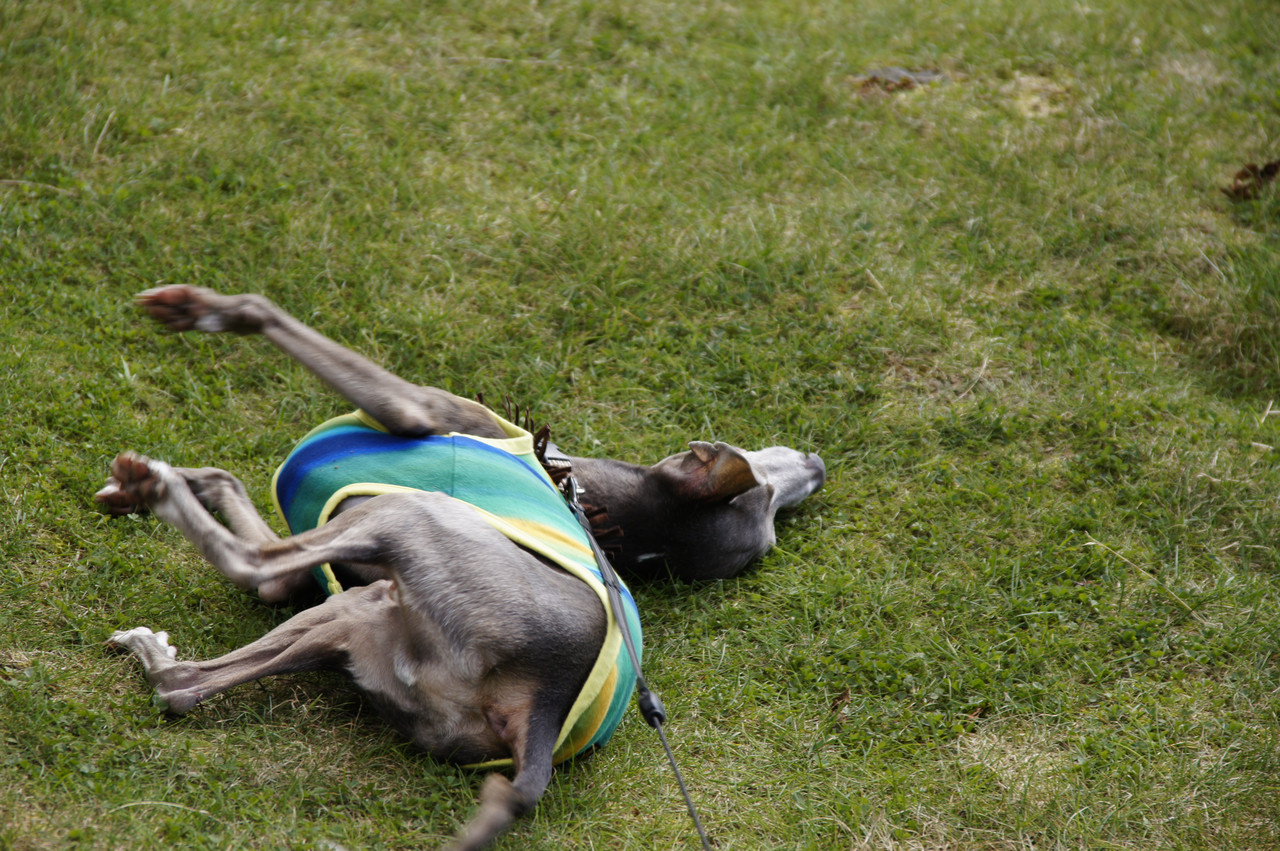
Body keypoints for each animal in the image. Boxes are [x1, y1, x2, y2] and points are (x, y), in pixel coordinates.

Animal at [100, 286, 825, 850]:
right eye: (768, 502)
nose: (818, 466)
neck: (585, 494)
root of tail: (540, 708)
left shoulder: (420, 409)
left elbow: (263, 314)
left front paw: (199, 310)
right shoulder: (312, 578)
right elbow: (241, 505)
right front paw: (170, 481)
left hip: (405, 521)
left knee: (247, 566)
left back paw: (157, 490)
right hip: (362, 614)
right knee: (181, 684)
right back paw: (155, 632)